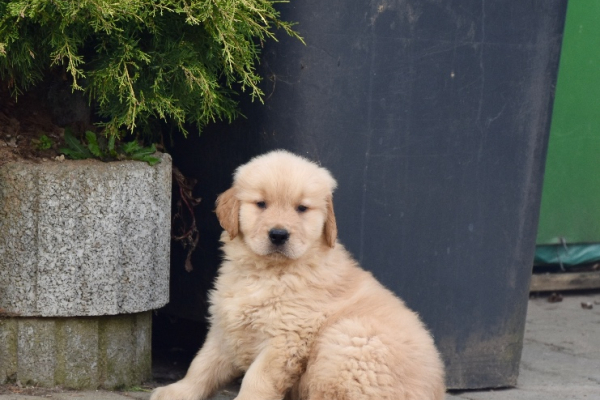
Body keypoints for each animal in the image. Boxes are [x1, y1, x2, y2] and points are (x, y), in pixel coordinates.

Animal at [154, 150, 446, 400]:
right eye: (261, 204)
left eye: (302, 209)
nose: (278, 235)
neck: (268, 272)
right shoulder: (225, 326)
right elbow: (202, 365)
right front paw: (176, 392)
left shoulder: (285, 340)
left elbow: (256, 380)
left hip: (347, 339)